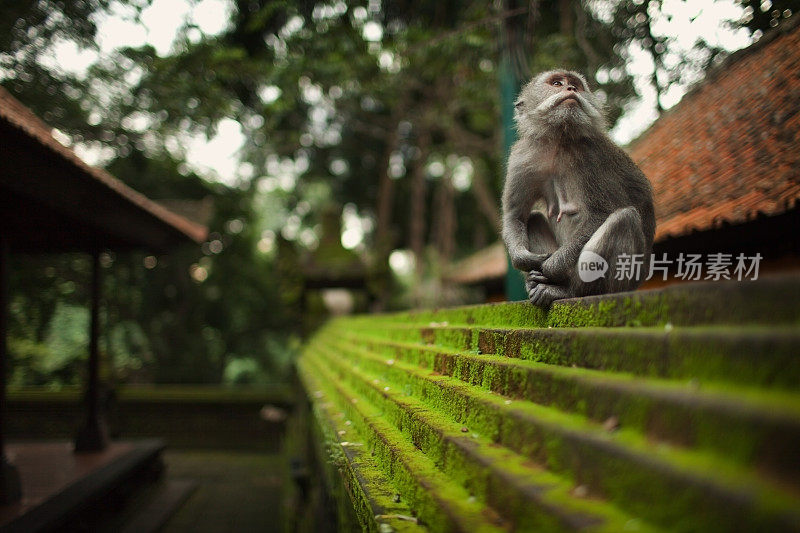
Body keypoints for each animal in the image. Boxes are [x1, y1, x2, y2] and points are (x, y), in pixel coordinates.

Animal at [500, 68, 656, 306]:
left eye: (576, 84)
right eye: (557, 83)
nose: (571, 88)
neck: (559, 139)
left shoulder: (593, 156)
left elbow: (600, 214)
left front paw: (550, 266)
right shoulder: (523, 157)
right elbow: (515, 215)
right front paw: (523, 258)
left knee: (624, 219)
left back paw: (567, 290)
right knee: (533, 218)